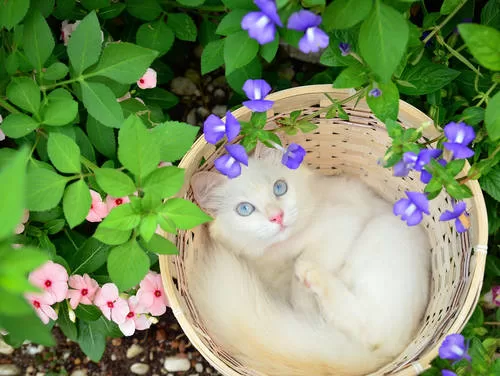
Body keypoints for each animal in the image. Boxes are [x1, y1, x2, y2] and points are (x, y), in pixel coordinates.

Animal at [188, 148, 430, 374]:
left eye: (279, 188)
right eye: (245, 209)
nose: (277, 216)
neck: (277, 253)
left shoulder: (342, 223)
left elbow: (307, 262)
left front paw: (303, 295)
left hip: (384, 231)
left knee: (369, 325)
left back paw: (310, 275)